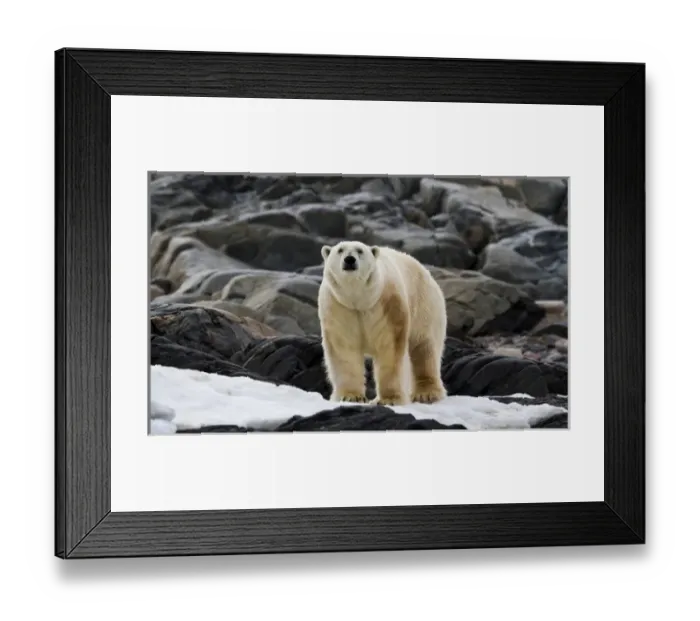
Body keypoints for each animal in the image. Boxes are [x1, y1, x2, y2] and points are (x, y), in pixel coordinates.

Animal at [317, 241, 448, 406]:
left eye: (360, 250)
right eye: (340, 250)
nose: (349, 260)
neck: (359, 300)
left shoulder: (387, 304)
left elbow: (390, 348)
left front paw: (389, 399)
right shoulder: (340, 308)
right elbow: (344, 349)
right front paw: (350, 396)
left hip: (425, 305)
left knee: (424, 348)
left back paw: (426, 394)